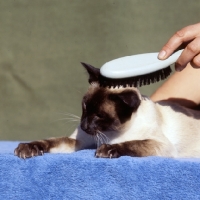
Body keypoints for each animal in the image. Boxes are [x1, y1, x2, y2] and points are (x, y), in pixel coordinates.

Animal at [14, 63, 200, 159]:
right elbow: (50, 141)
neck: (113, 132)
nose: (84, 126)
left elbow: (132, 143)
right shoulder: (79, 141)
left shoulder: (161, 146)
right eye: (84, 107)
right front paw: (28, 148)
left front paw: (106, 150)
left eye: (99, 115)